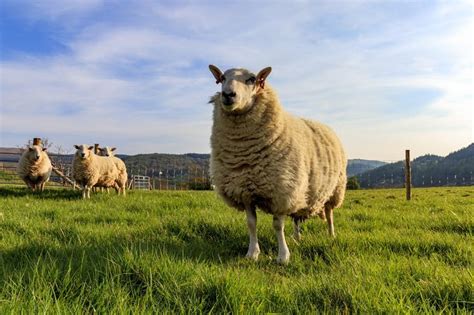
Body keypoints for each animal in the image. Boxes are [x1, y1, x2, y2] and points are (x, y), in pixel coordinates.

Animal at [209, 65, 346, 266]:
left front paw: (283, 256)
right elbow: (251, 223)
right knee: (297, 217)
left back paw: (331, 234)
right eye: (222, 79)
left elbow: (277, 225)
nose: (228, 94)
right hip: (301, 190)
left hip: (333, 189)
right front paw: (252, 253)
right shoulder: (245, 190)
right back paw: (297, 238)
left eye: (252, 79)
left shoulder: (281, 191)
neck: (246, 152)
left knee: (329, 214)